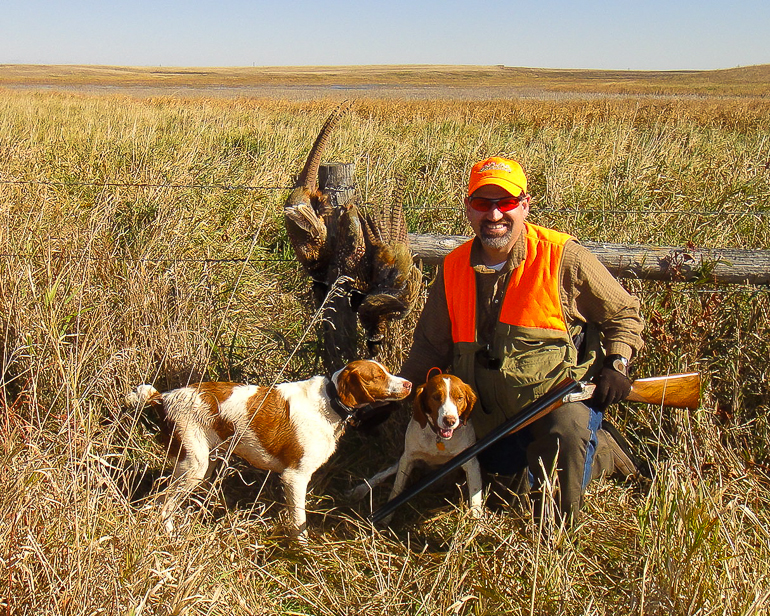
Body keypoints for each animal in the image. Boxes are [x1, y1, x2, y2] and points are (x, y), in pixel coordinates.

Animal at [126, 358, 412, 540]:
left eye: (387, 371)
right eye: (377, 377)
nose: (409, 384)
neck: (330, 403)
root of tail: (163, 397)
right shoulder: (295, 477)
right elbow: (299, 522)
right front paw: (301, 553)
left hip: (206, 462)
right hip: (193, 466)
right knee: (162, 503)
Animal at [348, 370, 480, 524]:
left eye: (459, 398)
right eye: (436, 397)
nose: (450, 421)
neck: (439, 438)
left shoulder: (472, 464)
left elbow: (476, 501)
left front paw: (476, 525)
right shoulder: (408, 458)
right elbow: (396, 490)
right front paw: (385, 518)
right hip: (402, 460)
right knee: (381, 475)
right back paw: (360, 490)